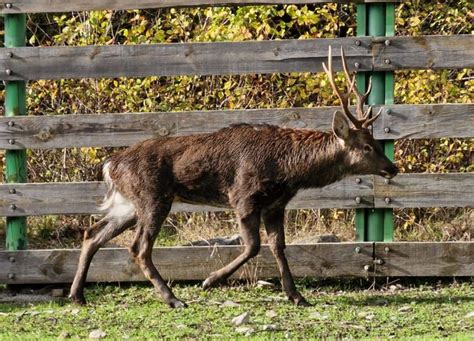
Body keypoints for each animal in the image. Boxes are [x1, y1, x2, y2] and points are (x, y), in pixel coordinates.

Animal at [69, 45, 396, 306]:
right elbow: (252, 246)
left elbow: (278, 247)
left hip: (129, 205)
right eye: (367, 146)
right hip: (153, 197)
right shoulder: (243, 196)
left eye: (378, 142)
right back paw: (173, 299)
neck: (288, 172)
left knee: (92, 234)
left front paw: (296, 296)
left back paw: (77, 295)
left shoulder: (276, 204)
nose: (392, 168)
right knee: (138, 248)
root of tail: (110, 165)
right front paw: (210, 280)